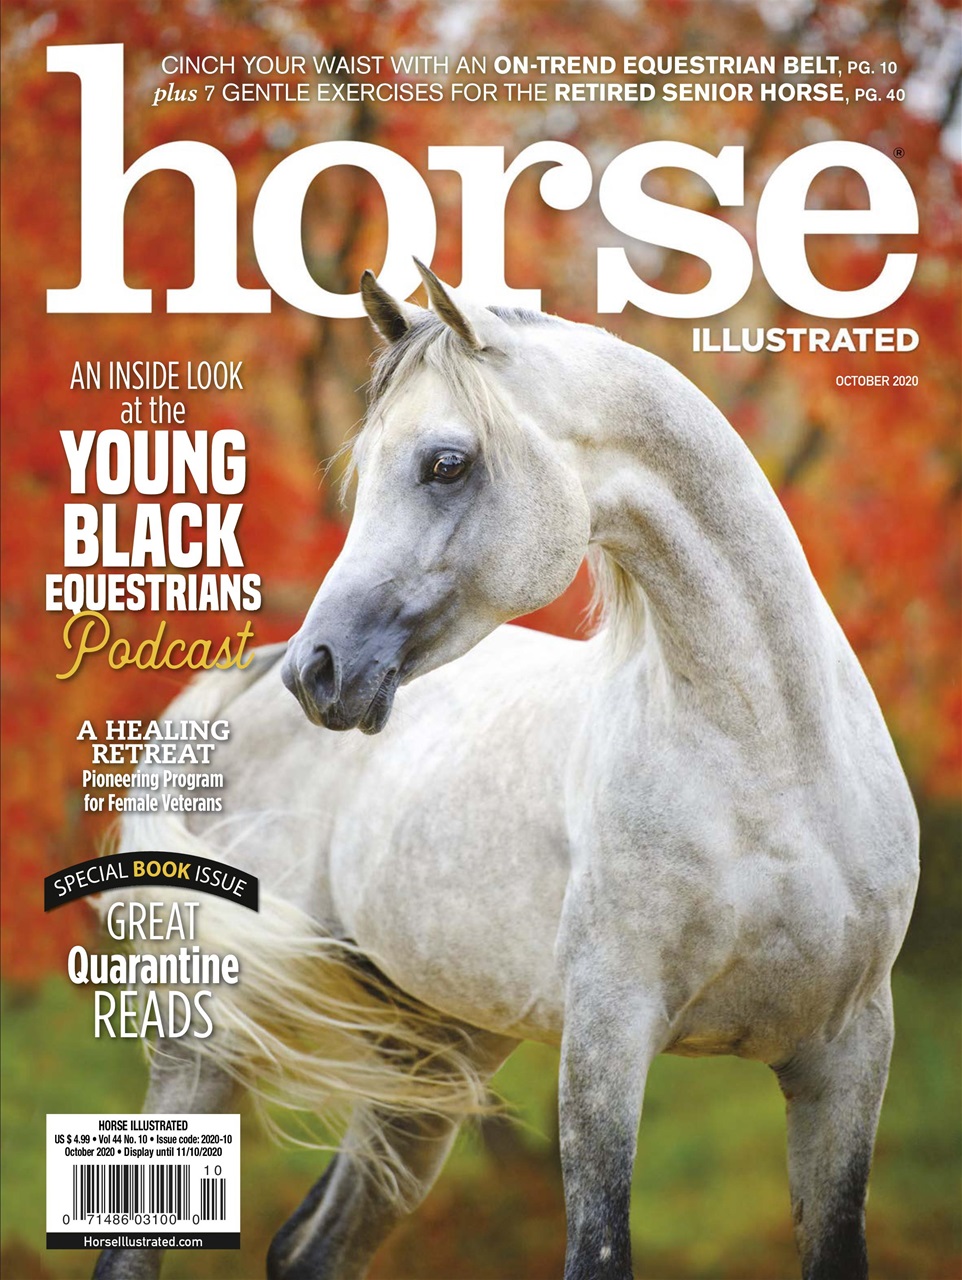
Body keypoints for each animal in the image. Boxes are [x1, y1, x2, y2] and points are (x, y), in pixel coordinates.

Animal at [93, 264, 919, 1280]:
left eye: (446, 463)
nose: (319, 673)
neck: (770, 777)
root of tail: (245, 694)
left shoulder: (848, 1057)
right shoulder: (608, 1046)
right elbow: (599, 1249)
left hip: (430, 1058)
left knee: (312, 1248)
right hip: (206, 1047)